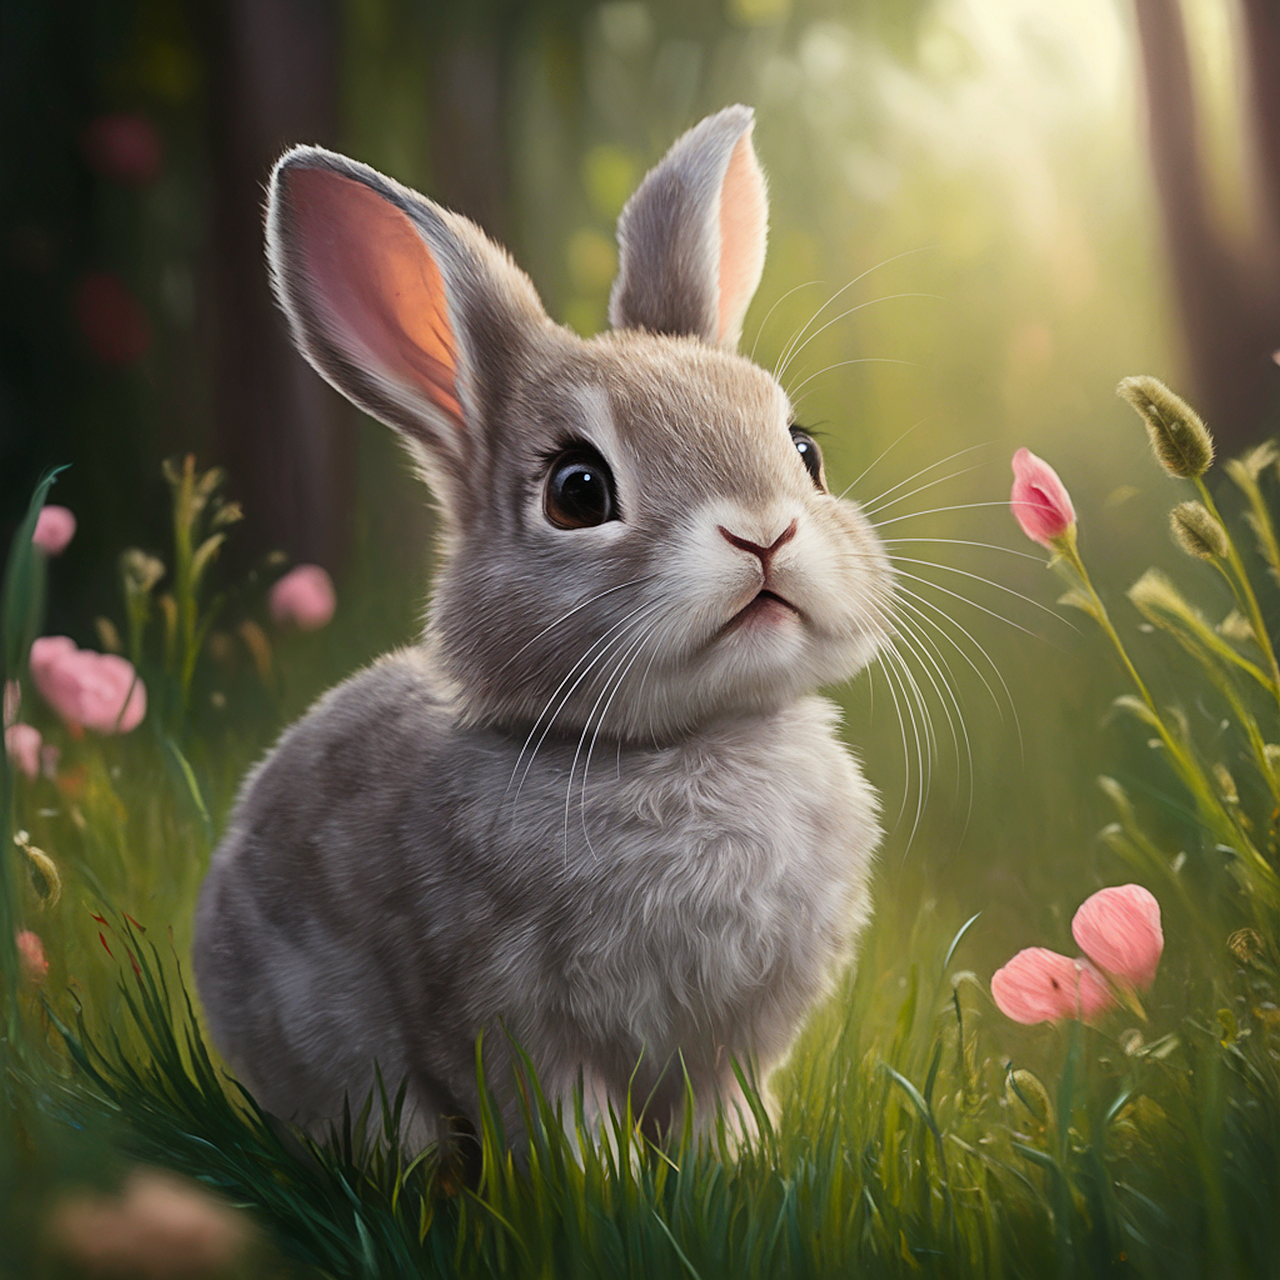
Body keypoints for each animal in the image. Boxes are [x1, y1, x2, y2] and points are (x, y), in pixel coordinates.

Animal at [192, 104, 895, 1152]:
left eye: (804, 451)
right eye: (578, 490)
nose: (763, 533)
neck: (686, 741)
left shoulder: (734, 1043)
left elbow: (721, 1109)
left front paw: (737, 1166)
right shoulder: (517, 1024)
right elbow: (573, 1129)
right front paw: (618, 1183)